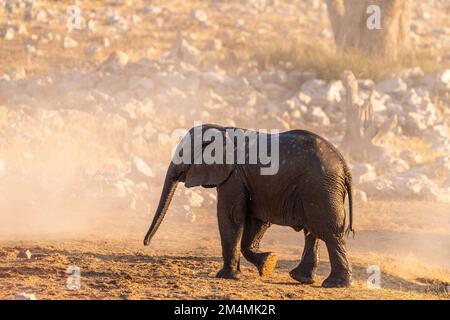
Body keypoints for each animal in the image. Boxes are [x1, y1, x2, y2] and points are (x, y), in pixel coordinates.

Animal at [142, 124, 354, 288]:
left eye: (181, 153)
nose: (146, 243)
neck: (221, 129)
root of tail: (345, 167)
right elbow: (257, 222)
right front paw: (268, 263)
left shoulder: (233, 176)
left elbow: (230, 215)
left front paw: (227, 276)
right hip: (316, 189)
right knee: (314, 231)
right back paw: (302, 278)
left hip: (319, 187)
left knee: (329, 231)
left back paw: (335, 284)